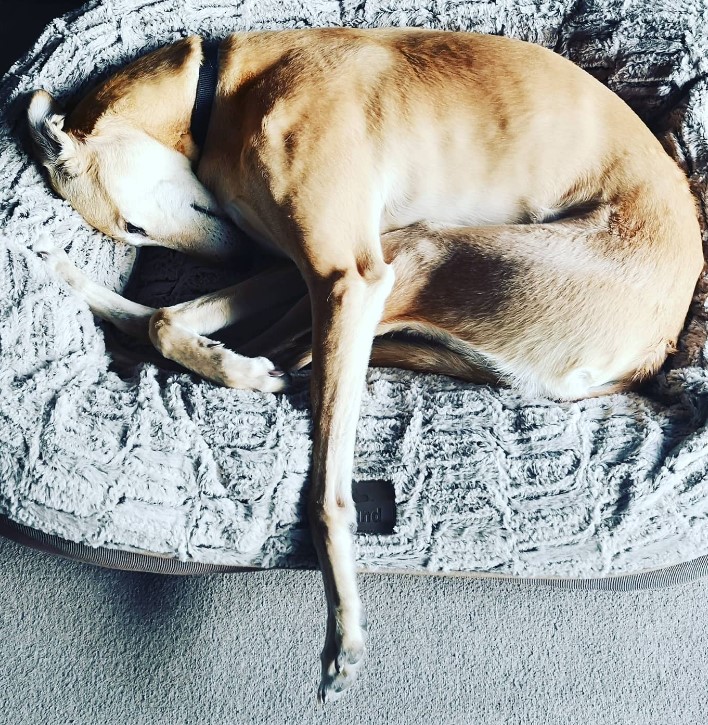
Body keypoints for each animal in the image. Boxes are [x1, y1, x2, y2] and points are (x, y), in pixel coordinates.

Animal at [26, 29, 704, 700]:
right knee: (207, 332)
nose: (235, 258)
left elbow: (327, 492)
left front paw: (343, 633)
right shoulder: (298, 271)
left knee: (287, 355)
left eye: (133, 226)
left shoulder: (346, 277)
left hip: (414, 252)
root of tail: (656, 347)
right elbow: (165, 318)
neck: (226, 91)